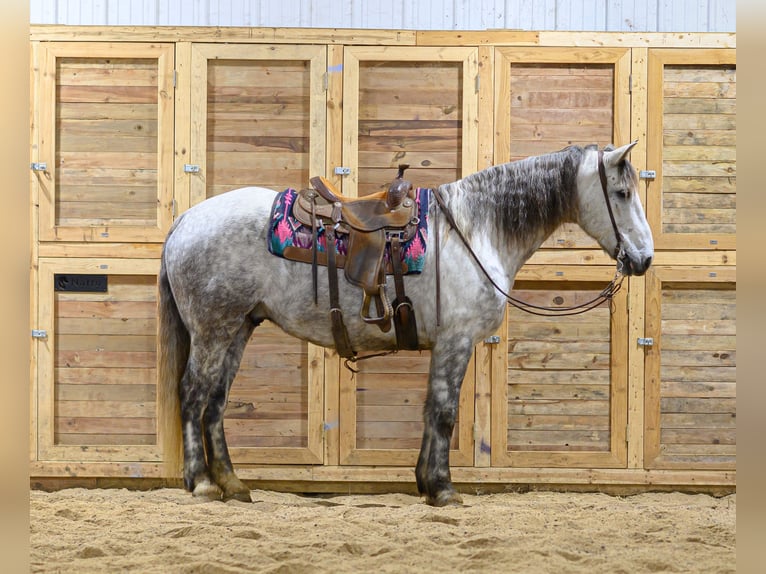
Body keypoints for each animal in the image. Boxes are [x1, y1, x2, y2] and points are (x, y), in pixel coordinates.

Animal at [157, 142, 654, 507]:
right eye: (622, 193)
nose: (645, 259)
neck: (474, 231)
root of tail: (185, 220)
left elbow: (432, 410)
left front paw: (425, 482)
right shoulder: (456, 341)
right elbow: (444, 411)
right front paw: (443, 488)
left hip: (238, 328)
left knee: (216, 401)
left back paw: (233, 484)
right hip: (212, 330)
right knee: (194, 393)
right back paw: (202, 482)